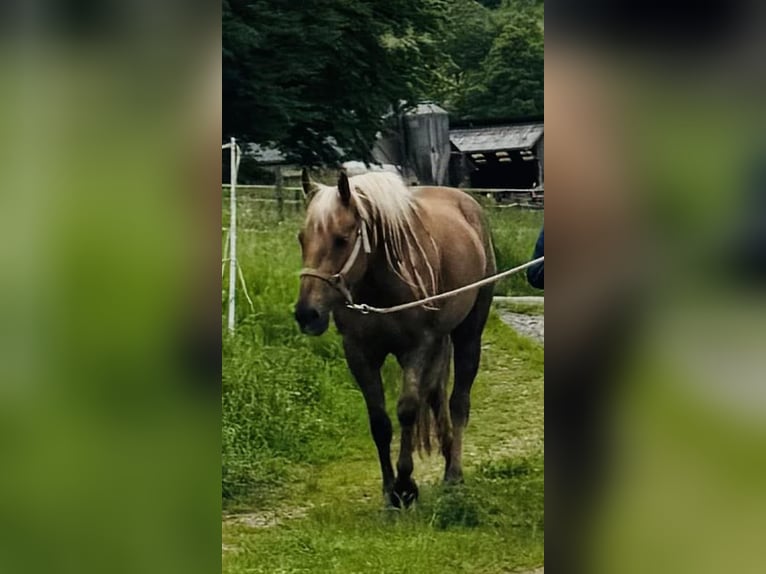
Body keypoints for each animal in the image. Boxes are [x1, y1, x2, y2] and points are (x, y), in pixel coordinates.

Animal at [294, 170, 498, 508]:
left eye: (341, 239)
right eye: (302, 238)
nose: (307, 314)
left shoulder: (416, 347)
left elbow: (407, 410)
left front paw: (405, 485)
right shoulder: (359, 354)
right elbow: (380, 421)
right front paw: (390, 489)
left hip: (468, 334)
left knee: (458, 401)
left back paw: (453, 473)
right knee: (437, 399)